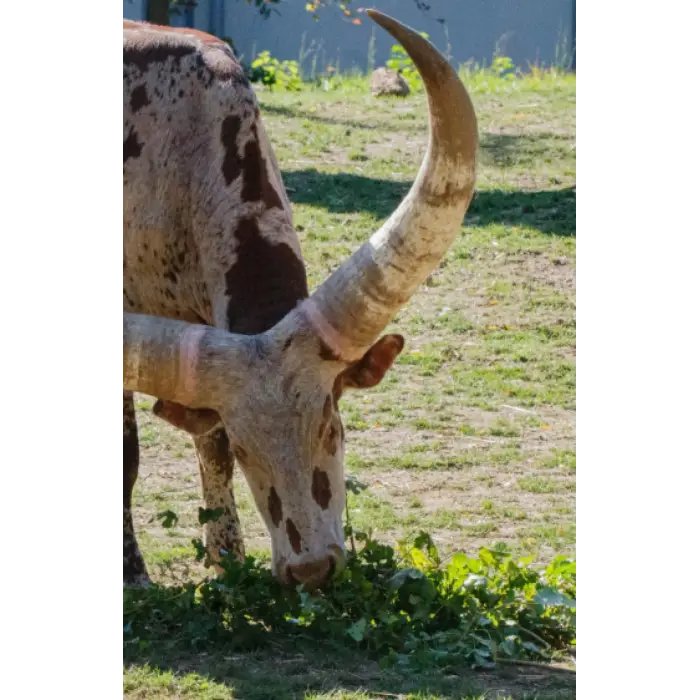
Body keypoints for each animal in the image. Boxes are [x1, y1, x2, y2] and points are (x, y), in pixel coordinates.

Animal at [121, 10, 478, 591]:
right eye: (248, 446)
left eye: (331, 426)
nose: (310, 568)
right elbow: (128, 456)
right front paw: (133, 574)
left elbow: (208, 445)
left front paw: (227, 558)